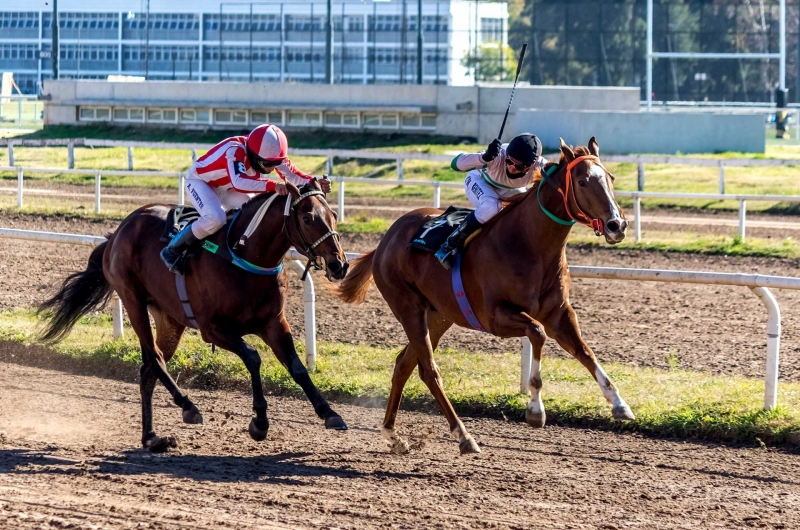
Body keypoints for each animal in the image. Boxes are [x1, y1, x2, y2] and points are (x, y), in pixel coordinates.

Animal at [38, 177, 346, 450]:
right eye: (308, 218)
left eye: (333, 215)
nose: (339, 265)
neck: (245, 256)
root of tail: (117, 232)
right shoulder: (213, 328)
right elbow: (253, 357)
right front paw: (259, 421)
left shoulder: (273, 323)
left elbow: (297, 367)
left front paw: (330, 413)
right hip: (132, 299)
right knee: (155, 359)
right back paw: (188, 406)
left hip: (169, 319)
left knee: (148, 369)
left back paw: (151, 438)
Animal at [334, 137, 636, 454]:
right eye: (582, 181)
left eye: (610, 178)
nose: (617, 225)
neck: (528, 244)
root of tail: (386, 239)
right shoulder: (495, 317)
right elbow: (537, 333)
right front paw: (535, 410)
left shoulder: (559, 314)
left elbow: (585, 351)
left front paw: (619, 404)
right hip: (408, 308)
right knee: (429, 370)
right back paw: (463, 436)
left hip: (438, 315)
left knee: (404, 364)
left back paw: (393, 435)